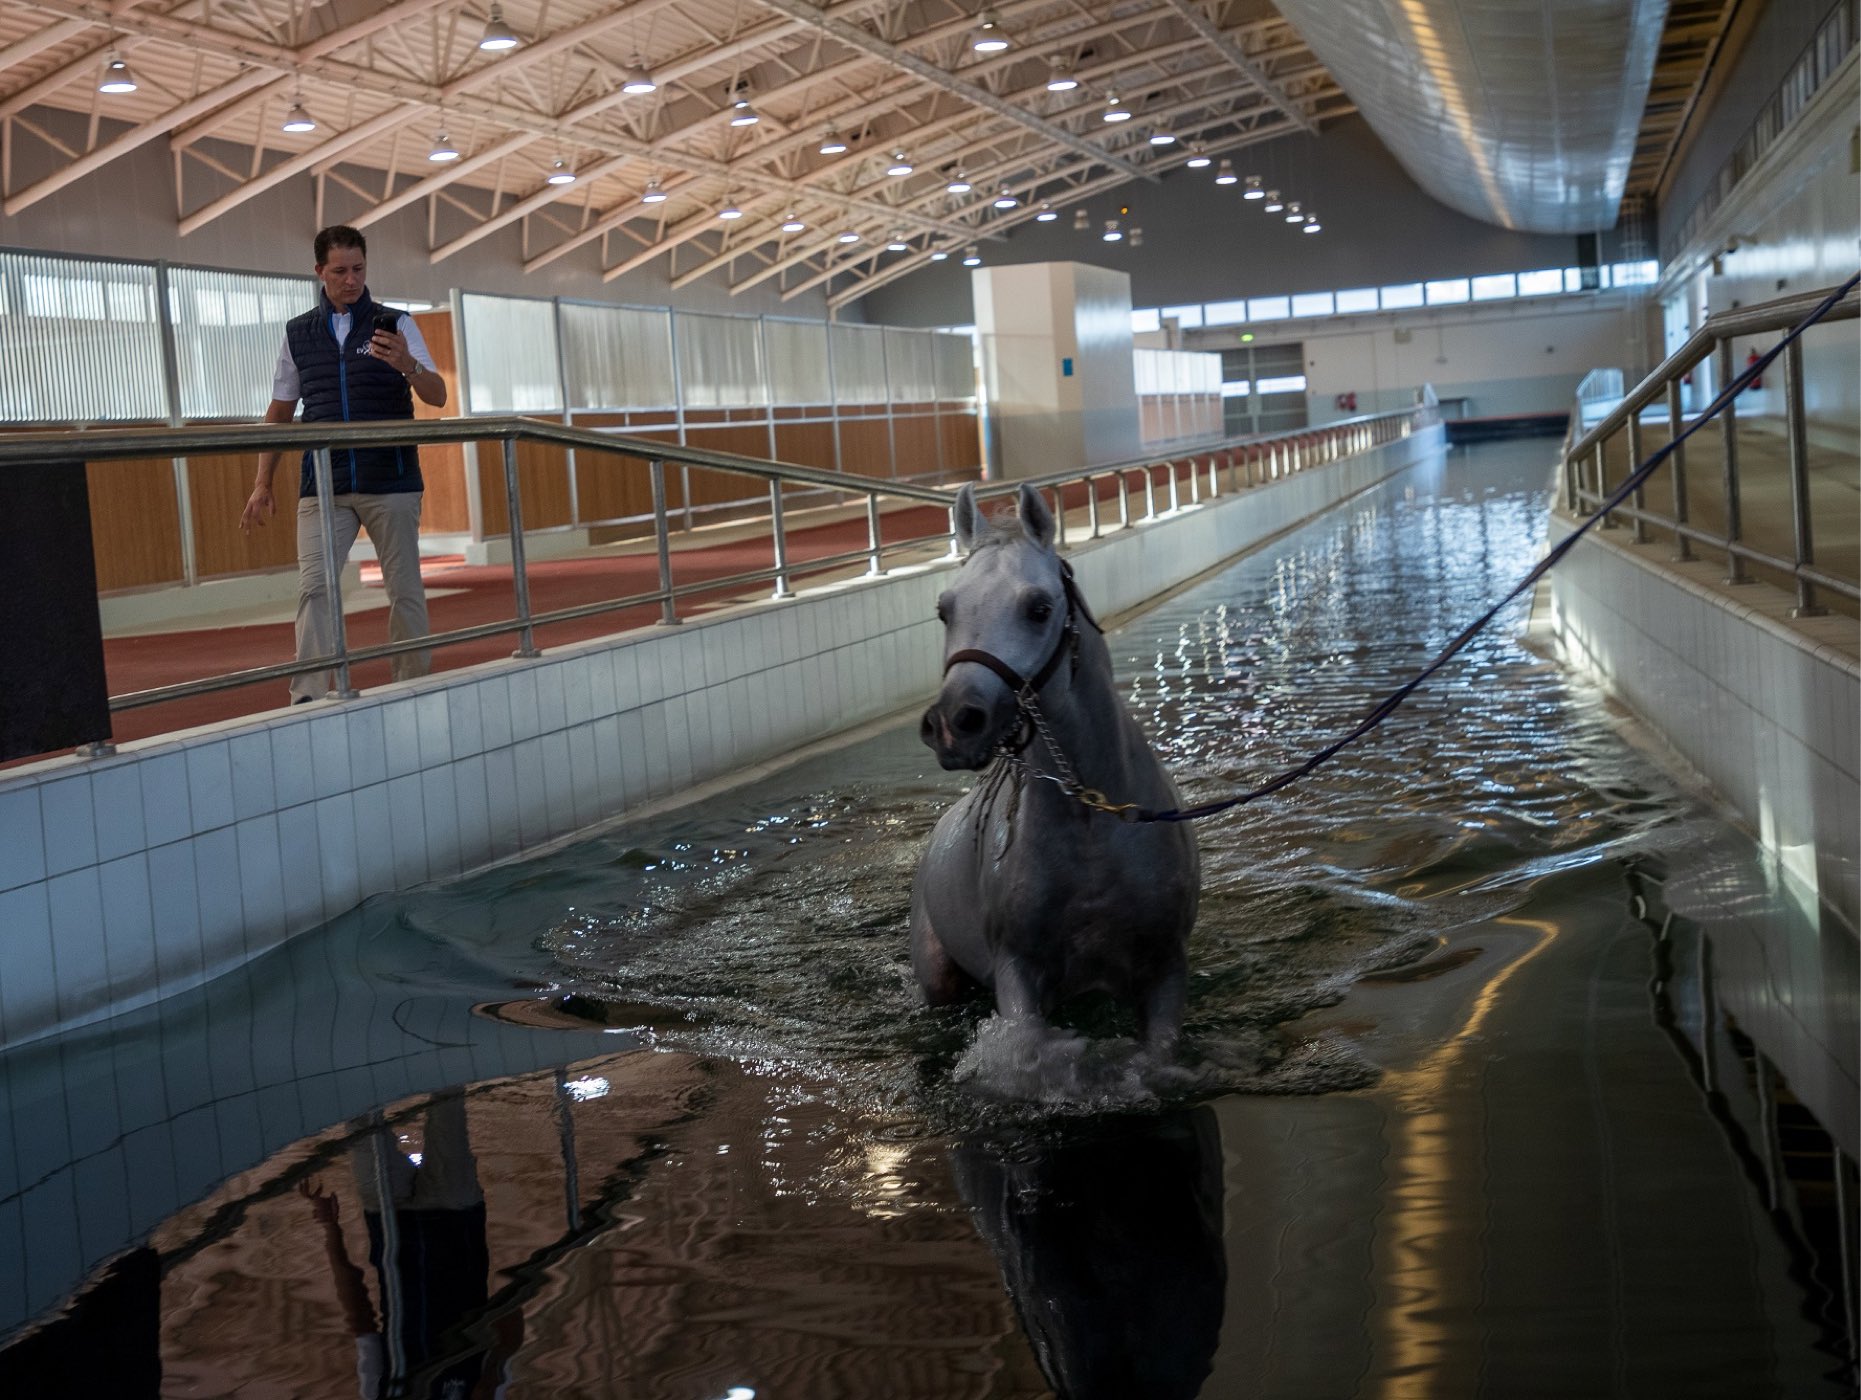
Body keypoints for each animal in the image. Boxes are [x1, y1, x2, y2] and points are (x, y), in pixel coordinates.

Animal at [911, 482, 1200, 1054]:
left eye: (1039, 608)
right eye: (944, 610)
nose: (954, 723)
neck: (1091, 818)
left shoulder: (1164, 970)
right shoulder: (1017, 974)